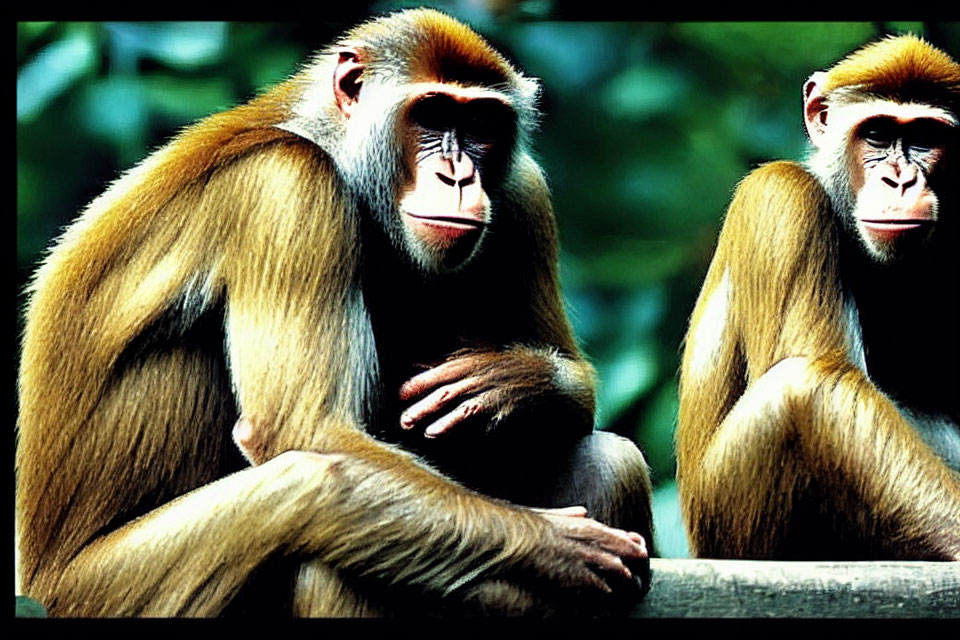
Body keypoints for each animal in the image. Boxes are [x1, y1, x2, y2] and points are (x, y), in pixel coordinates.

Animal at [15, 10, 656, 616]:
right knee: (311, 501)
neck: (337, 151)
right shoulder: (288, 185)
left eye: (481, 127)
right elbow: (303, 432)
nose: (458, 175)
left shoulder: (523, 189)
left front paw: (514, 382)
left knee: (609, 459)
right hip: (103, 589)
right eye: (432, 116)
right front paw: (554, 546)